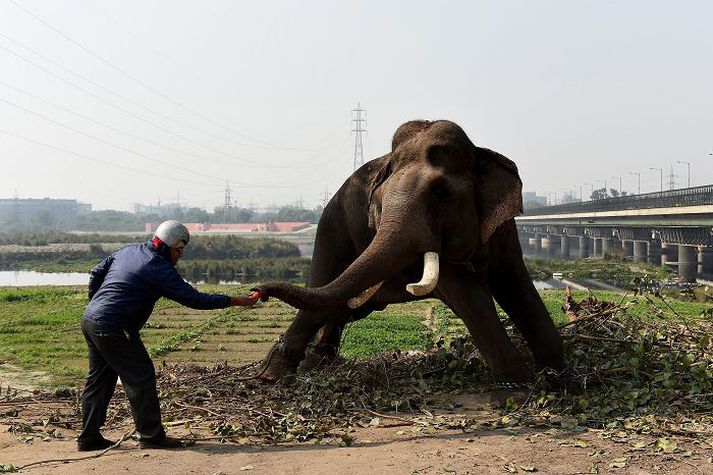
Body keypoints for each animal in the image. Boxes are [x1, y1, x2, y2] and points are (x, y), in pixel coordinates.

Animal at [254, 119, 560, 386]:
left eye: (439, 193)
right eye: (379, 203)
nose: (258, 291)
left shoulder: (502, 228)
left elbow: (517, 285)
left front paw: (556, 377)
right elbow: (471, 294)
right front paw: (522, 382)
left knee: (341, 306)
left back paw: (311, 366)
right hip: (332, 230)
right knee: (324, 292)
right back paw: (274, 375)